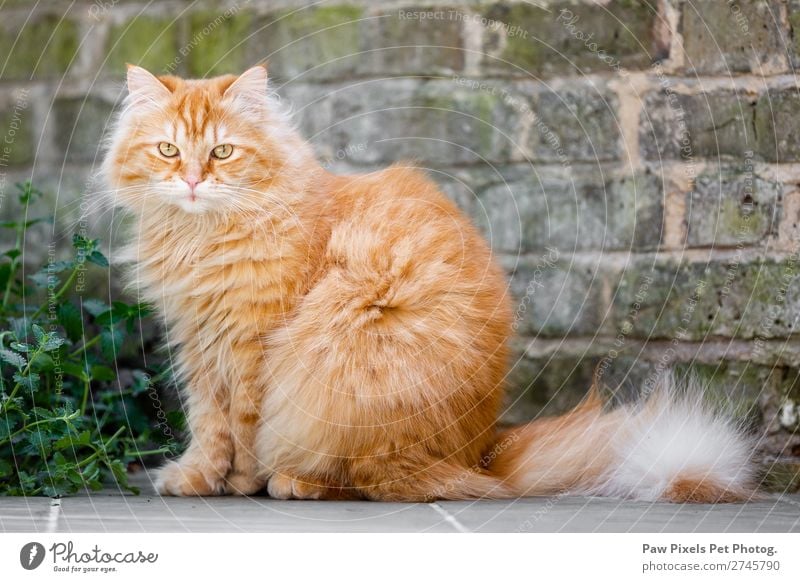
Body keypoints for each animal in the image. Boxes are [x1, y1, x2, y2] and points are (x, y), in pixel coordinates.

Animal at [103, 66, 760, 504]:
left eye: (222, 152)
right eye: (168, 150)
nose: (192, 180)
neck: (204, 239)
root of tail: (483, 453)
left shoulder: (250, 346)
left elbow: (240, 428)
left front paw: (237, 484)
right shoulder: (199, 342)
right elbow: (207, 426)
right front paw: (195, 478)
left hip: (347, 350)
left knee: (374, 482)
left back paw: (293, 482)